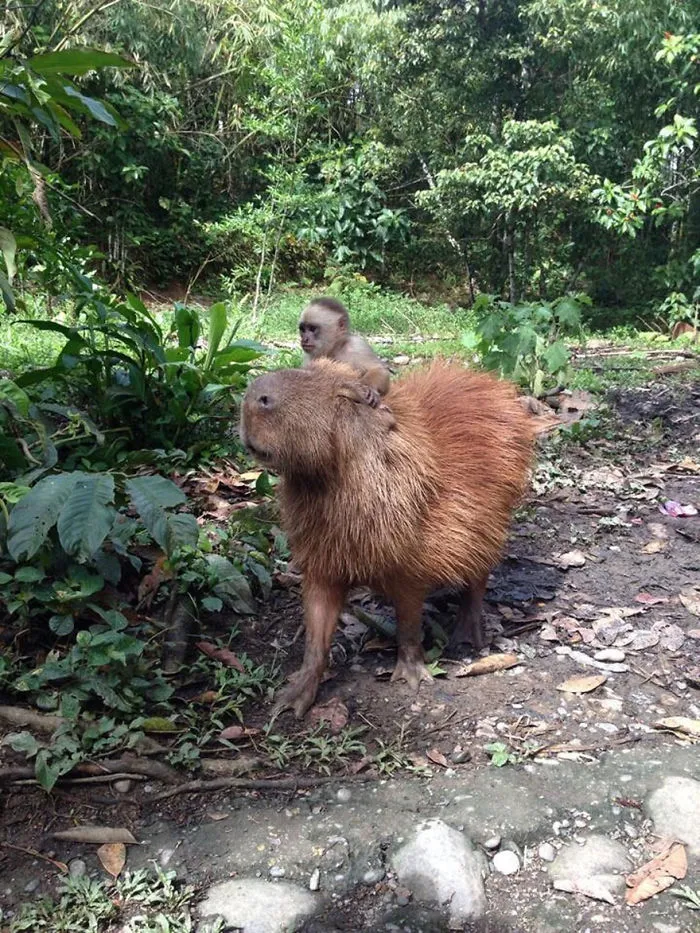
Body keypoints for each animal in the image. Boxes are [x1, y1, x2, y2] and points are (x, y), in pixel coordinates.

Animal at [240, 357, 534, 718]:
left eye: (347, 395)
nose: (256, 396)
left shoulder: (411, 567)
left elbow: (408, 621)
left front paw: (412, 676)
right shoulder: (321, 563)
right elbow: (316, 628)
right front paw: (292, 698)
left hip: (490, 529)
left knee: (478, 581)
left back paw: (466, 635)